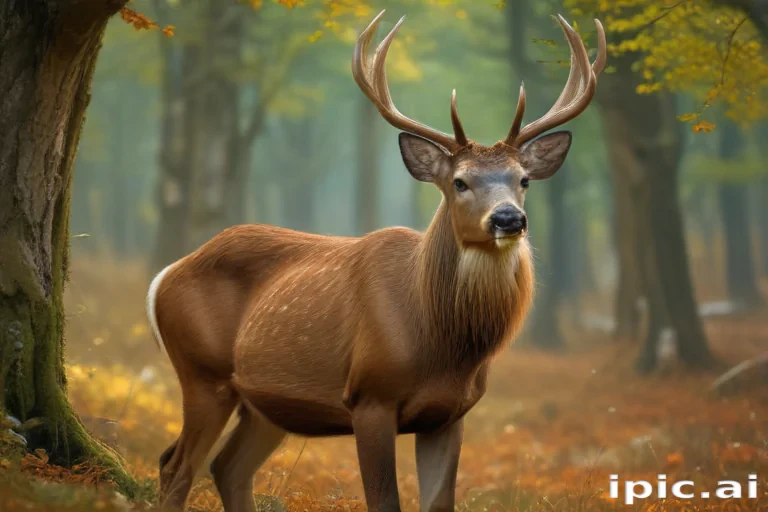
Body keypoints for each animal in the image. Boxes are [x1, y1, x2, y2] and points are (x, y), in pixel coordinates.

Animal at [147, 10, 606, 512]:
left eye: (523, 179)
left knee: (225, 467)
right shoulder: (369, 396)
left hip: (263, 403)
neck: (439, 339)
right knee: (176, 467)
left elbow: (438, 502)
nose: (509, 218)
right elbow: (385, 500)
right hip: (202, 371)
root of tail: (164, 275)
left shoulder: (450, 413)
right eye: (460, 182)